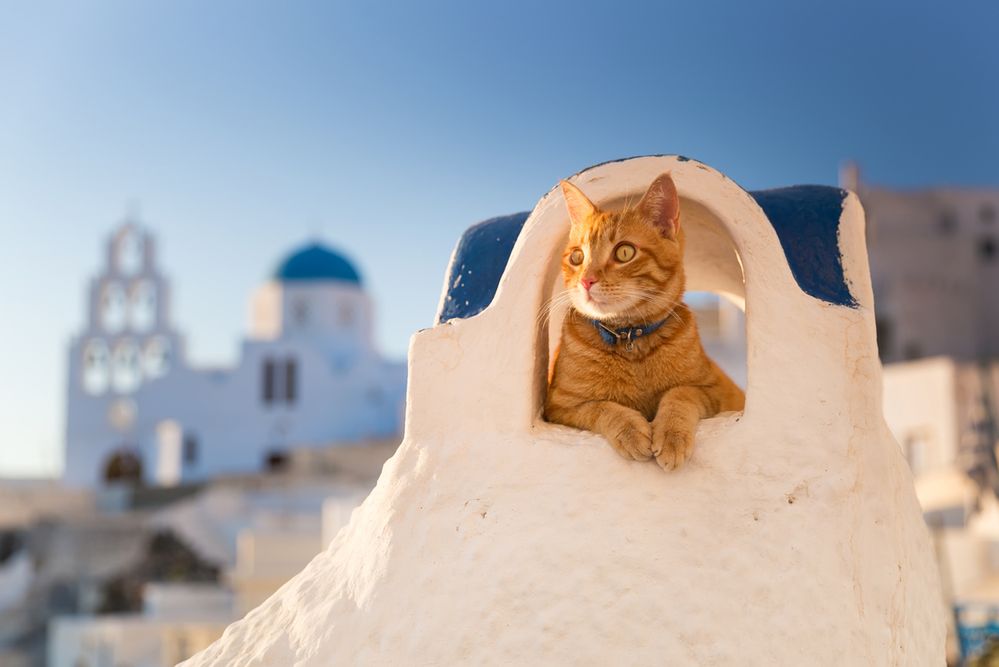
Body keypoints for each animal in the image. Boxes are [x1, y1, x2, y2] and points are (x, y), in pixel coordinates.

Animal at [548, 175, 744, 472]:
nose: (586, 280)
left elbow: (680, 394)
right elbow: (601, 407)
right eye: (577, 257)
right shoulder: (559, 407)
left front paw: (671, 434)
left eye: (624, 252)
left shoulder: (716, 391)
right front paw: (630, 430)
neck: (629, 336)